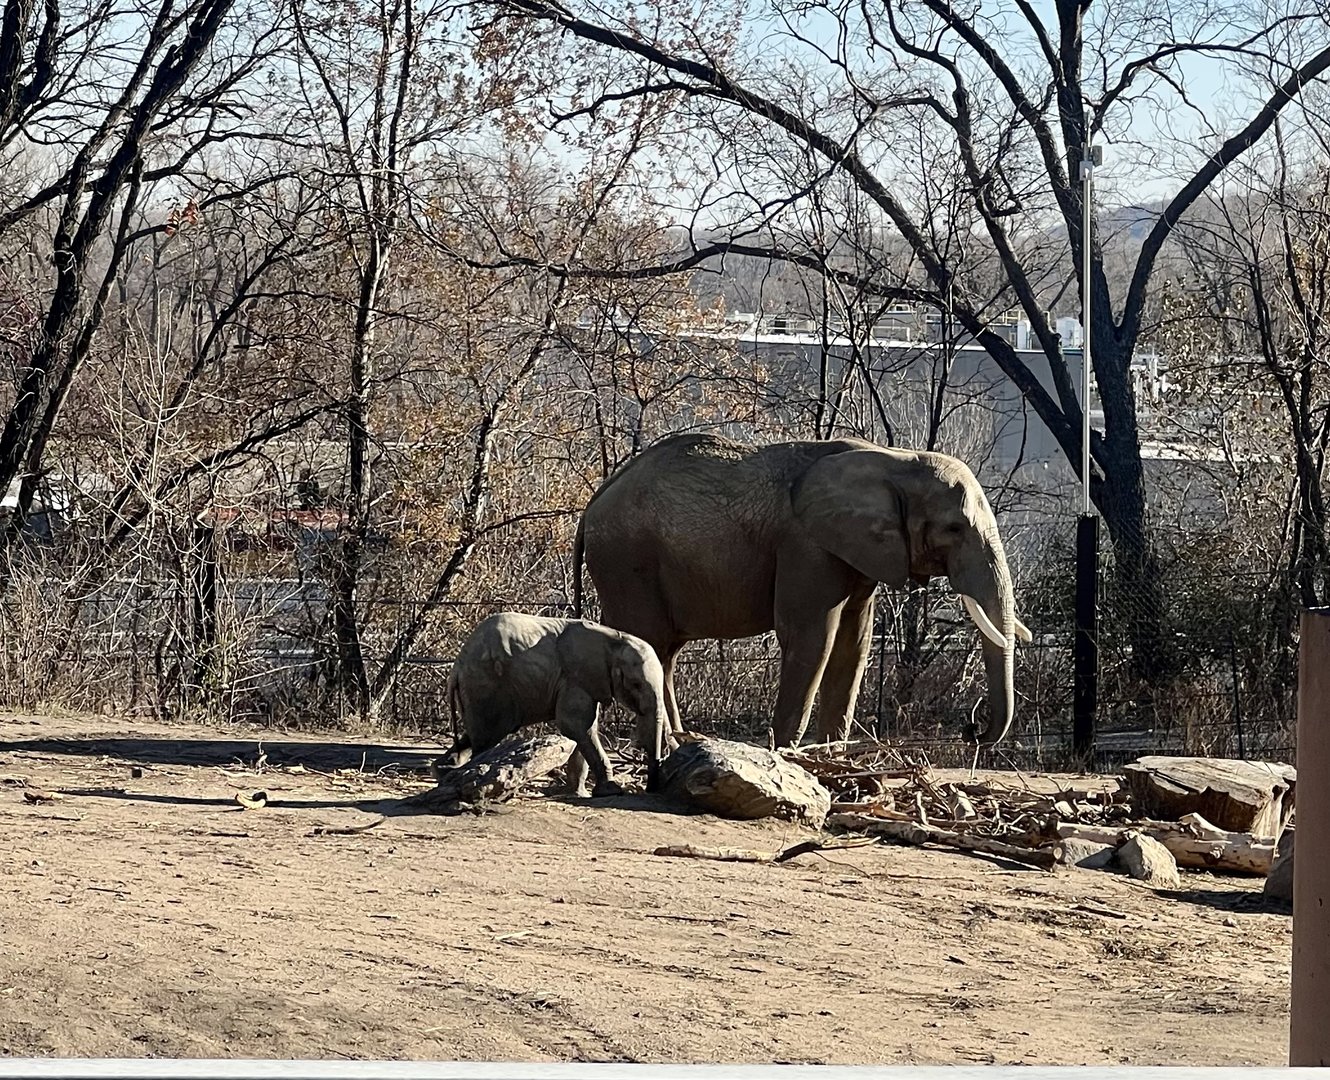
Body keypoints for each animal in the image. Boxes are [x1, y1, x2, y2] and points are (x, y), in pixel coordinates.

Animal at [439, 612, 669, 797]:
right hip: (486, 686)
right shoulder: (575, 677)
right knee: (487, 737)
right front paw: (611, 791)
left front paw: (579, 793)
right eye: (636, 684)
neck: (614, 638)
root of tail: (456, 667)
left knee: (475, 735)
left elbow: (584, 729)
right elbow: (574, 725)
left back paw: (445, 769)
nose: (650, 790)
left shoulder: (587, 682)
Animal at [572, 433, 1032, 749]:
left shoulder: (858, 552)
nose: (970, 730)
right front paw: (786, 752)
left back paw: (681, 741)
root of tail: (595, 500)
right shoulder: (806, 547)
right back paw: (664, 743)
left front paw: (831, 753)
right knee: (648, 643)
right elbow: (811, 638)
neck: (895, 459)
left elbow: (853, 643)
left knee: (663, 653)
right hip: (627, 562)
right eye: (954, 528)